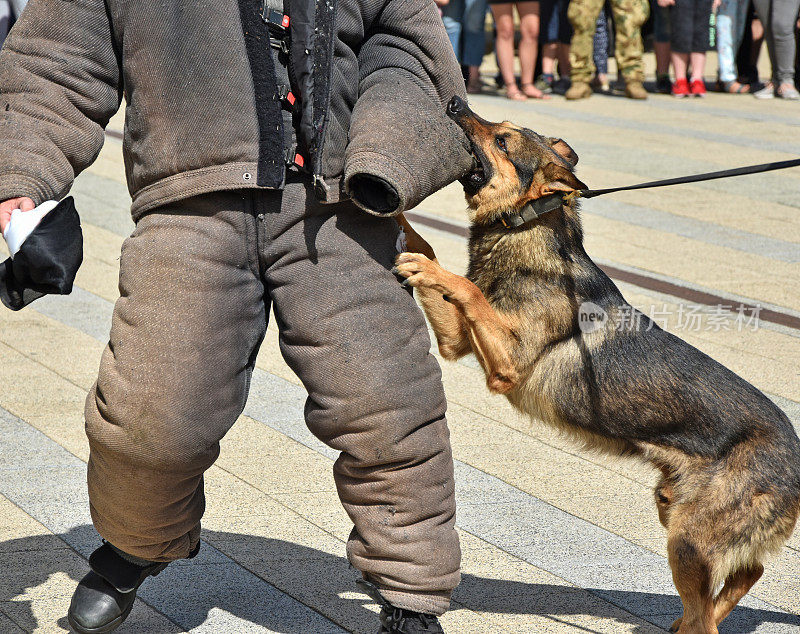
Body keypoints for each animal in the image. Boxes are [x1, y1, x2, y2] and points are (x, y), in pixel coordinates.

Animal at [392, 95, 800, 632]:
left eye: (502, 139)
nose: (455, 101)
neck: (529, 227)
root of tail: (797, 459)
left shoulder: (505, 365)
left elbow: (468, 287)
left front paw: (429, 265)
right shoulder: (460, 342)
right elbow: (431, 249)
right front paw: (401, 227)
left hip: (687, 541)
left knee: (707, 616)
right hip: (675, 510)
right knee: (741, 576)